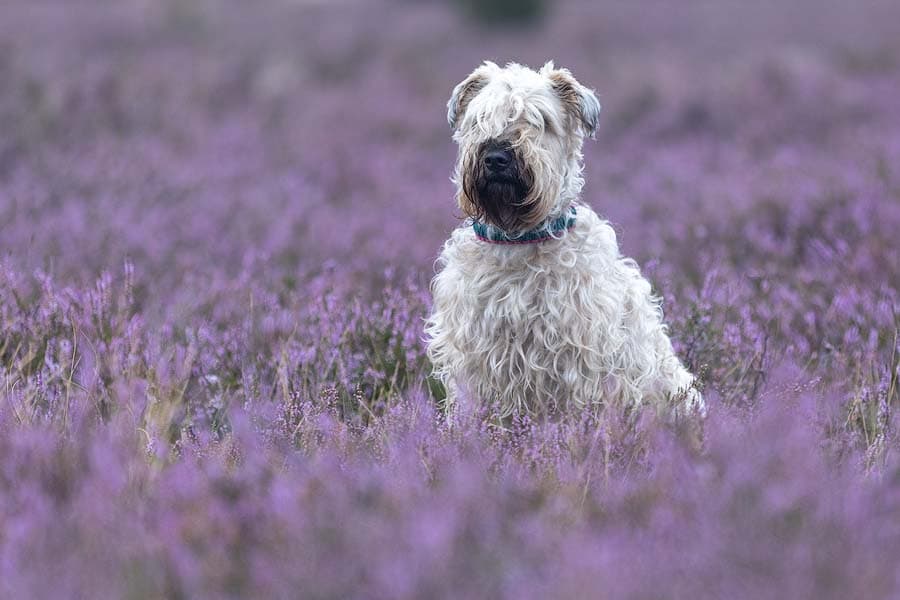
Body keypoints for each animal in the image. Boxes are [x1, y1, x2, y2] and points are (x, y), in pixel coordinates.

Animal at [426, 59, 708, 418]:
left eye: (541, 121)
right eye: (480, 118)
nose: (497, 157)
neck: (517, 239)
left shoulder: (579, 356)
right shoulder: (473, 354)